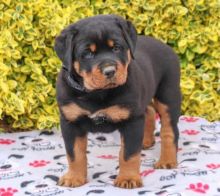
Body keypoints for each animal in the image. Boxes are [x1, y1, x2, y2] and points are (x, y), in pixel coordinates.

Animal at [54, 14, 180, 189]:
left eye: (116, 48)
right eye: (87, 53)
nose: (110, 71)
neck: (97, 93)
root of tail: (166, 46)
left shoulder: (131, 120)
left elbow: (129, 154)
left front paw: (128, 178)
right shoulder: (70, 122)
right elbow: (74, 154)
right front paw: (74, 177)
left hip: (168, 94)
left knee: (169, 130)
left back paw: (167, 160)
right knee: (149, 111)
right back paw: (146, 141)